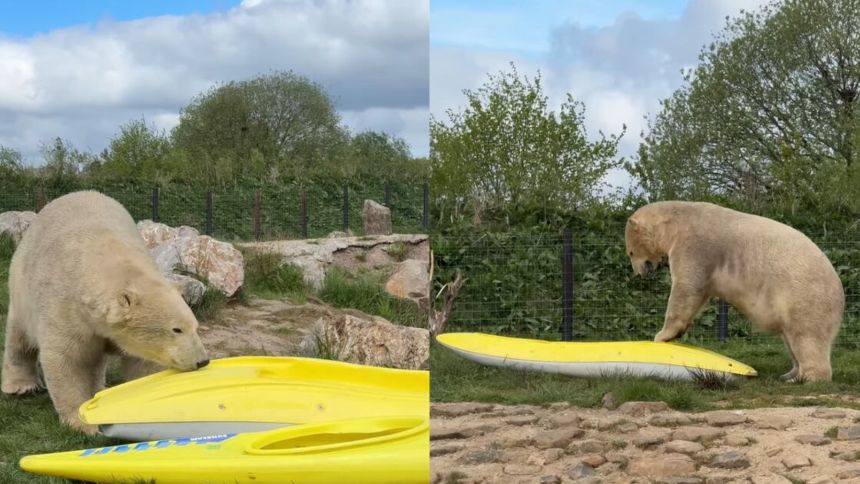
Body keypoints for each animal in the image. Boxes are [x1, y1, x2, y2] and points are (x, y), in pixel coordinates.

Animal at [1, 191, 209, 434]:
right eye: (177, 329)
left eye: (195, 327)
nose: (202, 361)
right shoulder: (65, 308)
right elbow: (67, 359)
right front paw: (83, 424)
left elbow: (142, 364)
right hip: (22, 286)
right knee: (20, 337)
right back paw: (21, 386)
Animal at [625, 201, 844, 382]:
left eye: (631, 252)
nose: (639, 273)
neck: (677, 221)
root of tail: (840, 294)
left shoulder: (695, 246)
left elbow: (687, 288)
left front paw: (662, 335)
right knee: (790, 339)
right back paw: (789, 373)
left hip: (804, 296)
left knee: (806, 337)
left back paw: (805, 377)